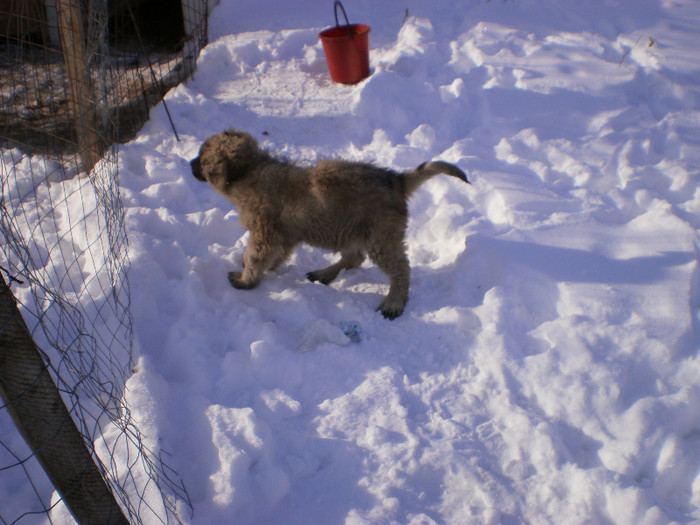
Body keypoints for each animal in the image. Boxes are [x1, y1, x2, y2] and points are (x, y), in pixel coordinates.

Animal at [189, 130, 468, 320]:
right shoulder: (284, 235)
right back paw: (324, 273)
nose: (189, 163)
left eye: (202, 158)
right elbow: (275, 256)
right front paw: (261, 269)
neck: (248, 171)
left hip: (381, 236)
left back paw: (394, 301)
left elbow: (254, 256)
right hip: (351, 229)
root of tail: (396, 180)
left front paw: (245, 279)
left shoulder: (264, 232)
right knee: (355, 257)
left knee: (400, 269)